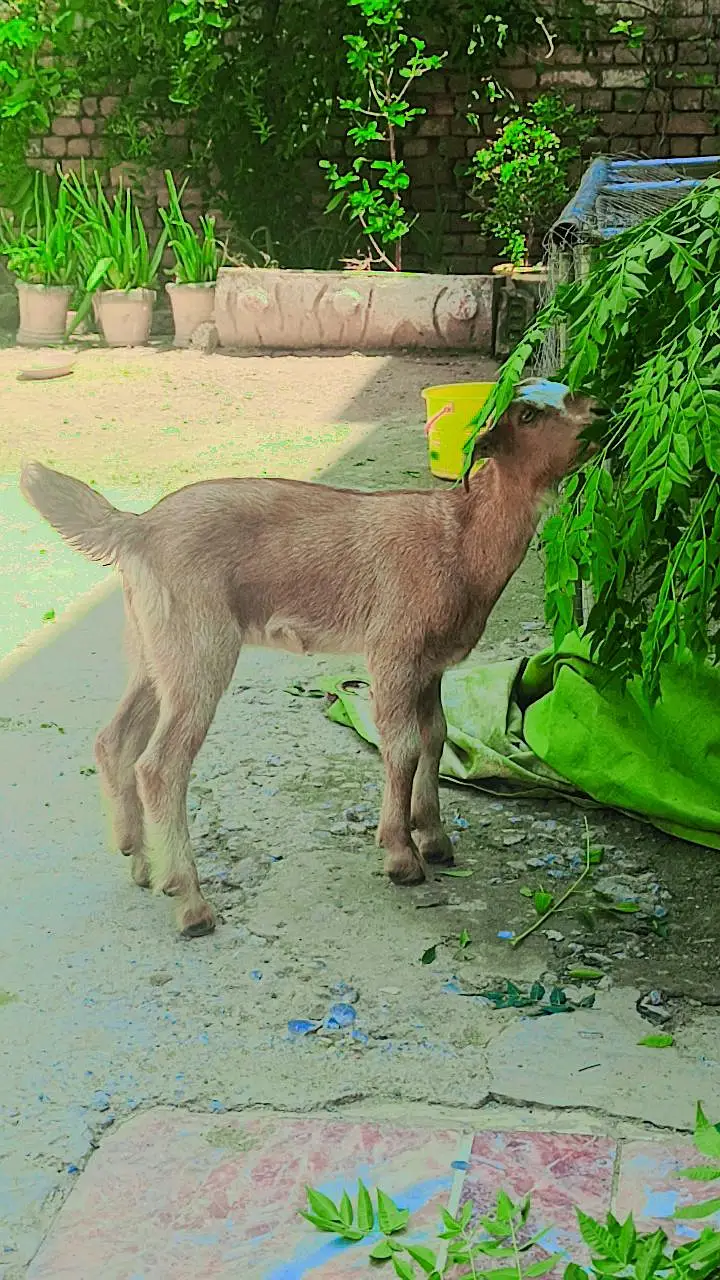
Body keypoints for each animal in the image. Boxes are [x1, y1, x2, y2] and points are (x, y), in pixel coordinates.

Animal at [20, 386, 595, 938]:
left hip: (155, 646)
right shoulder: (393, 648)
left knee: (115, 739)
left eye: (568, 391)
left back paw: (141, 862)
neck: (461, 538)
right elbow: (404, 746)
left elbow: (435, 736)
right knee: (160, 766)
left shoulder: (431, 664)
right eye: (526, 416)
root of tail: (136, 528)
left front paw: (433, 838)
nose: (599, 414)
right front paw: (400, 856)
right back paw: (190, 902)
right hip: (199, 643)